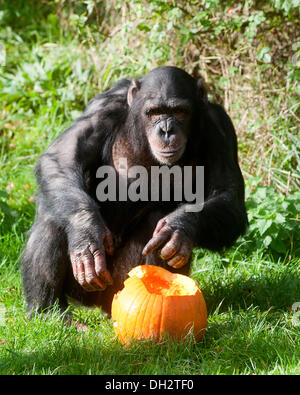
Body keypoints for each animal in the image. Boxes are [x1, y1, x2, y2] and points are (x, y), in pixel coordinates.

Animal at [20, 66, 246, 318]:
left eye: (179, 111)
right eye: (154, 112)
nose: (166, 129)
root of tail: (96, 306)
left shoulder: (221, 128)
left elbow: (229, 196)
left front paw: (179, 228)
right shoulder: (103, 107)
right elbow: (62, 158)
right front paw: (86, 233)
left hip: (119, 283)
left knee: (158, 222)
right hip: (84, 286)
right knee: (54, 214)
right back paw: (47, 312)